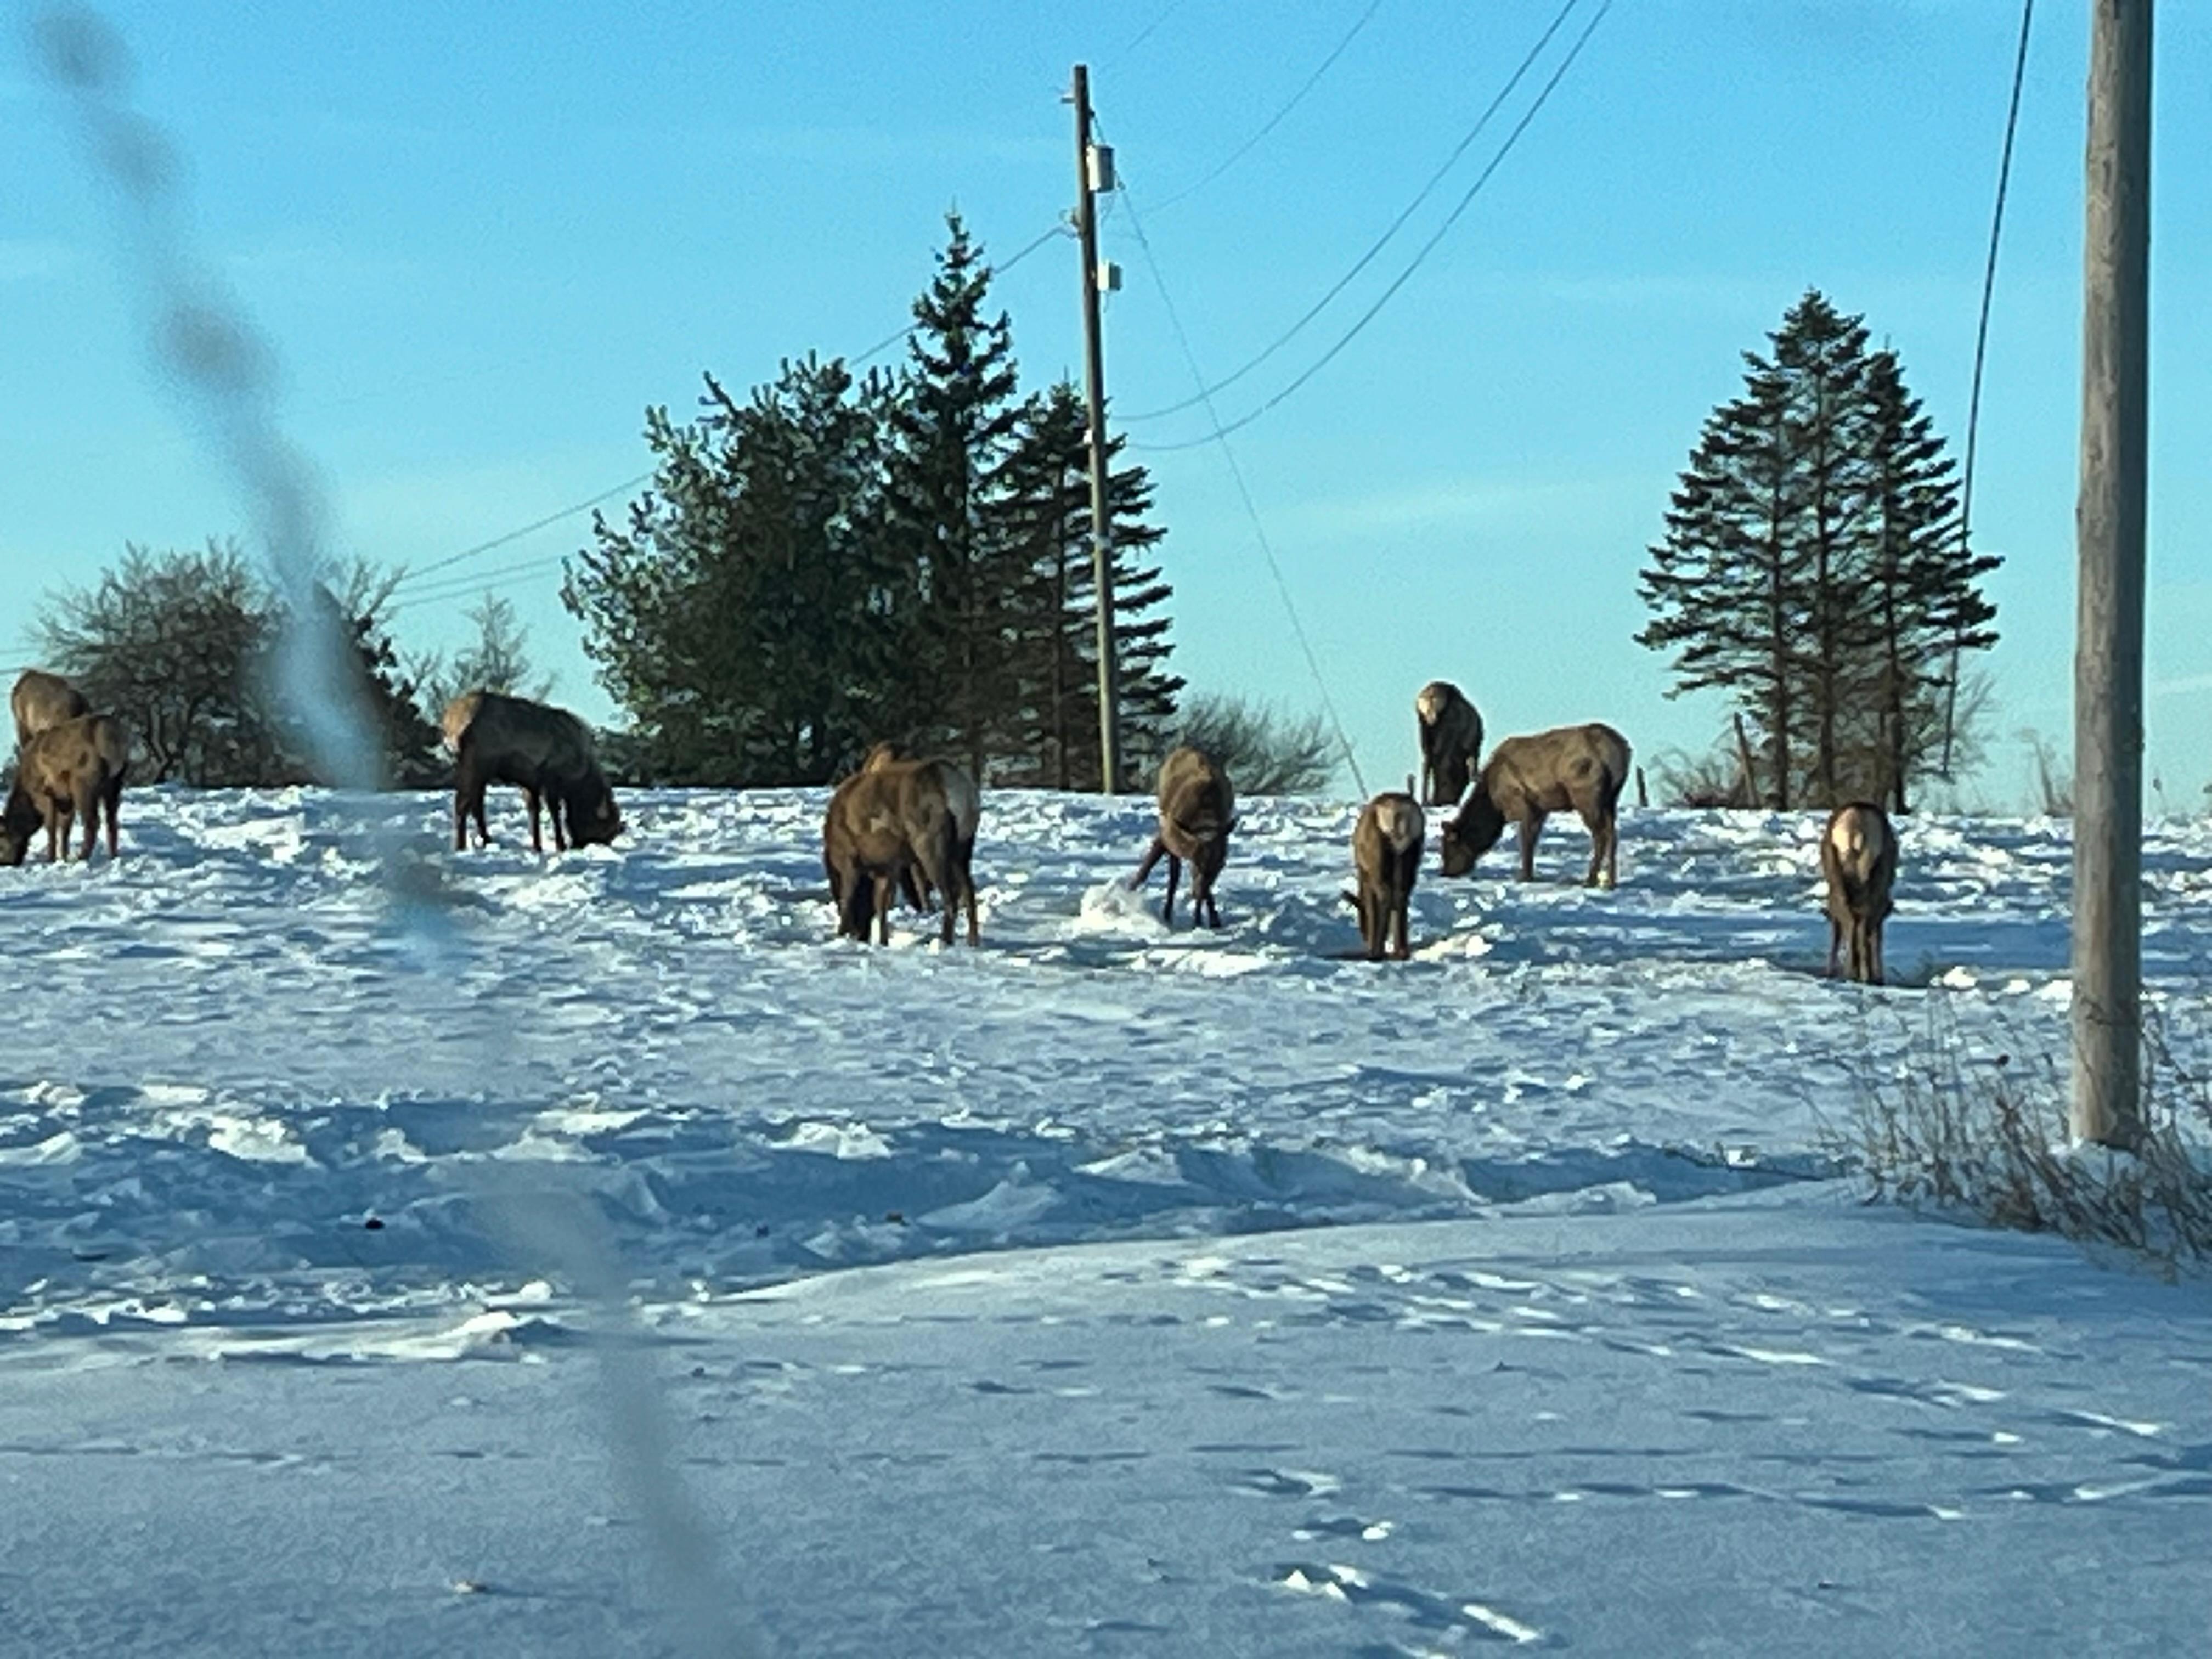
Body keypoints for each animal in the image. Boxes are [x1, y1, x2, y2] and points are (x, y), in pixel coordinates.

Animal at [1129, 745, 1235, 928]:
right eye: (1196, 864)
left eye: (1220, 866)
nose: (1198, 893)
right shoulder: (1166, 837)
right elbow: (1149, 870)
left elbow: (1204, 888)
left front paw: (1207, 919)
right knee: (1173, 878)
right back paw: (1167, 913)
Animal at [1349, 789, 1424, 961]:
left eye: (1360, 915)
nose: (1364, 937)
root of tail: (1401, 812)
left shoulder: (1366, 876)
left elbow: (1372, 908)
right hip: (1412, 852)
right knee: (1402, 895)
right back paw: (1401, 951)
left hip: (1379, 860)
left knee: (1386, 896)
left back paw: (1377, 952)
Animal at [1439, 722, 1631, 889]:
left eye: (1449, 846)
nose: (1446, 873)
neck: (1495, 807)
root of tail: (1621, 750)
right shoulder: (1541, 810)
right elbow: (1533, 840)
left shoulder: (1525, 806)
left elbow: (1526, 840)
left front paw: (1525, 876)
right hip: (1611, 799)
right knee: (1613, 834)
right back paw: (1611, 881)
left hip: (1586, 797)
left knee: (1600, 835)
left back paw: (1590, 880)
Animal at [1822, 801, 1897, 985]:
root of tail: (1856, 826)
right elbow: (1876, 936)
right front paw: (1877, 976)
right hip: (1872, 879)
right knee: (1861, 925)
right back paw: (1860, 974)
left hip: (1839, 878)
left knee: (1851, 921)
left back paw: (1851, 973)